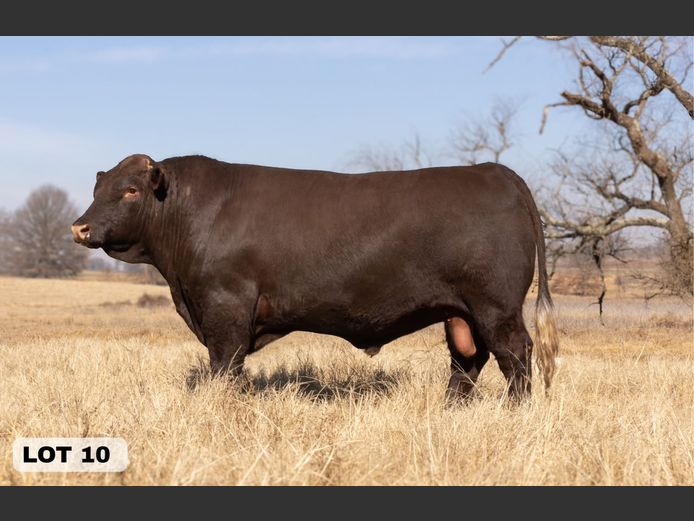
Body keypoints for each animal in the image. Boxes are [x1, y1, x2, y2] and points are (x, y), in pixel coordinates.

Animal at [72, 154, 559, 402]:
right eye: (98, 189)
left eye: (131, 190)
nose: (80, 227)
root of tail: (492, 169)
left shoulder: (225, 305)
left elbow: (224, 364)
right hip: (462, 311)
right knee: (467, 360)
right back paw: (450, 409)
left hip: (496, 306)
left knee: (515, 354)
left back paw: (517, 410)